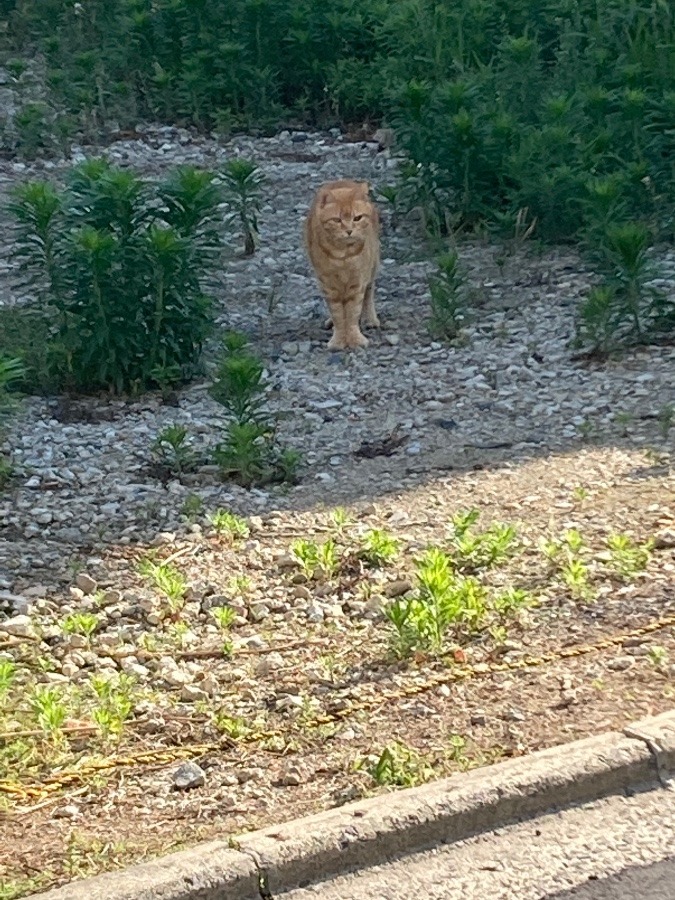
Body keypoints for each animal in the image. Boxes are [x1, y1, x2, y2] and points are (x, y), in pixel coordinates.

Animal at [304, 181, 380, 350]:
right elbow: (338, 314)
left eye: (357, 218)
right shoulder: (328, 285)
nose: (349, 230)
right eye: (337, 220)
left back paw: (370, 319)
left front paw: (354, 339)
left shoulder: (357, 282)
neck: (343, 257)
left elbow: (352, 312)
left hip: (372, 267)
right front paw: (339, 340)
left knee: (369, 293)